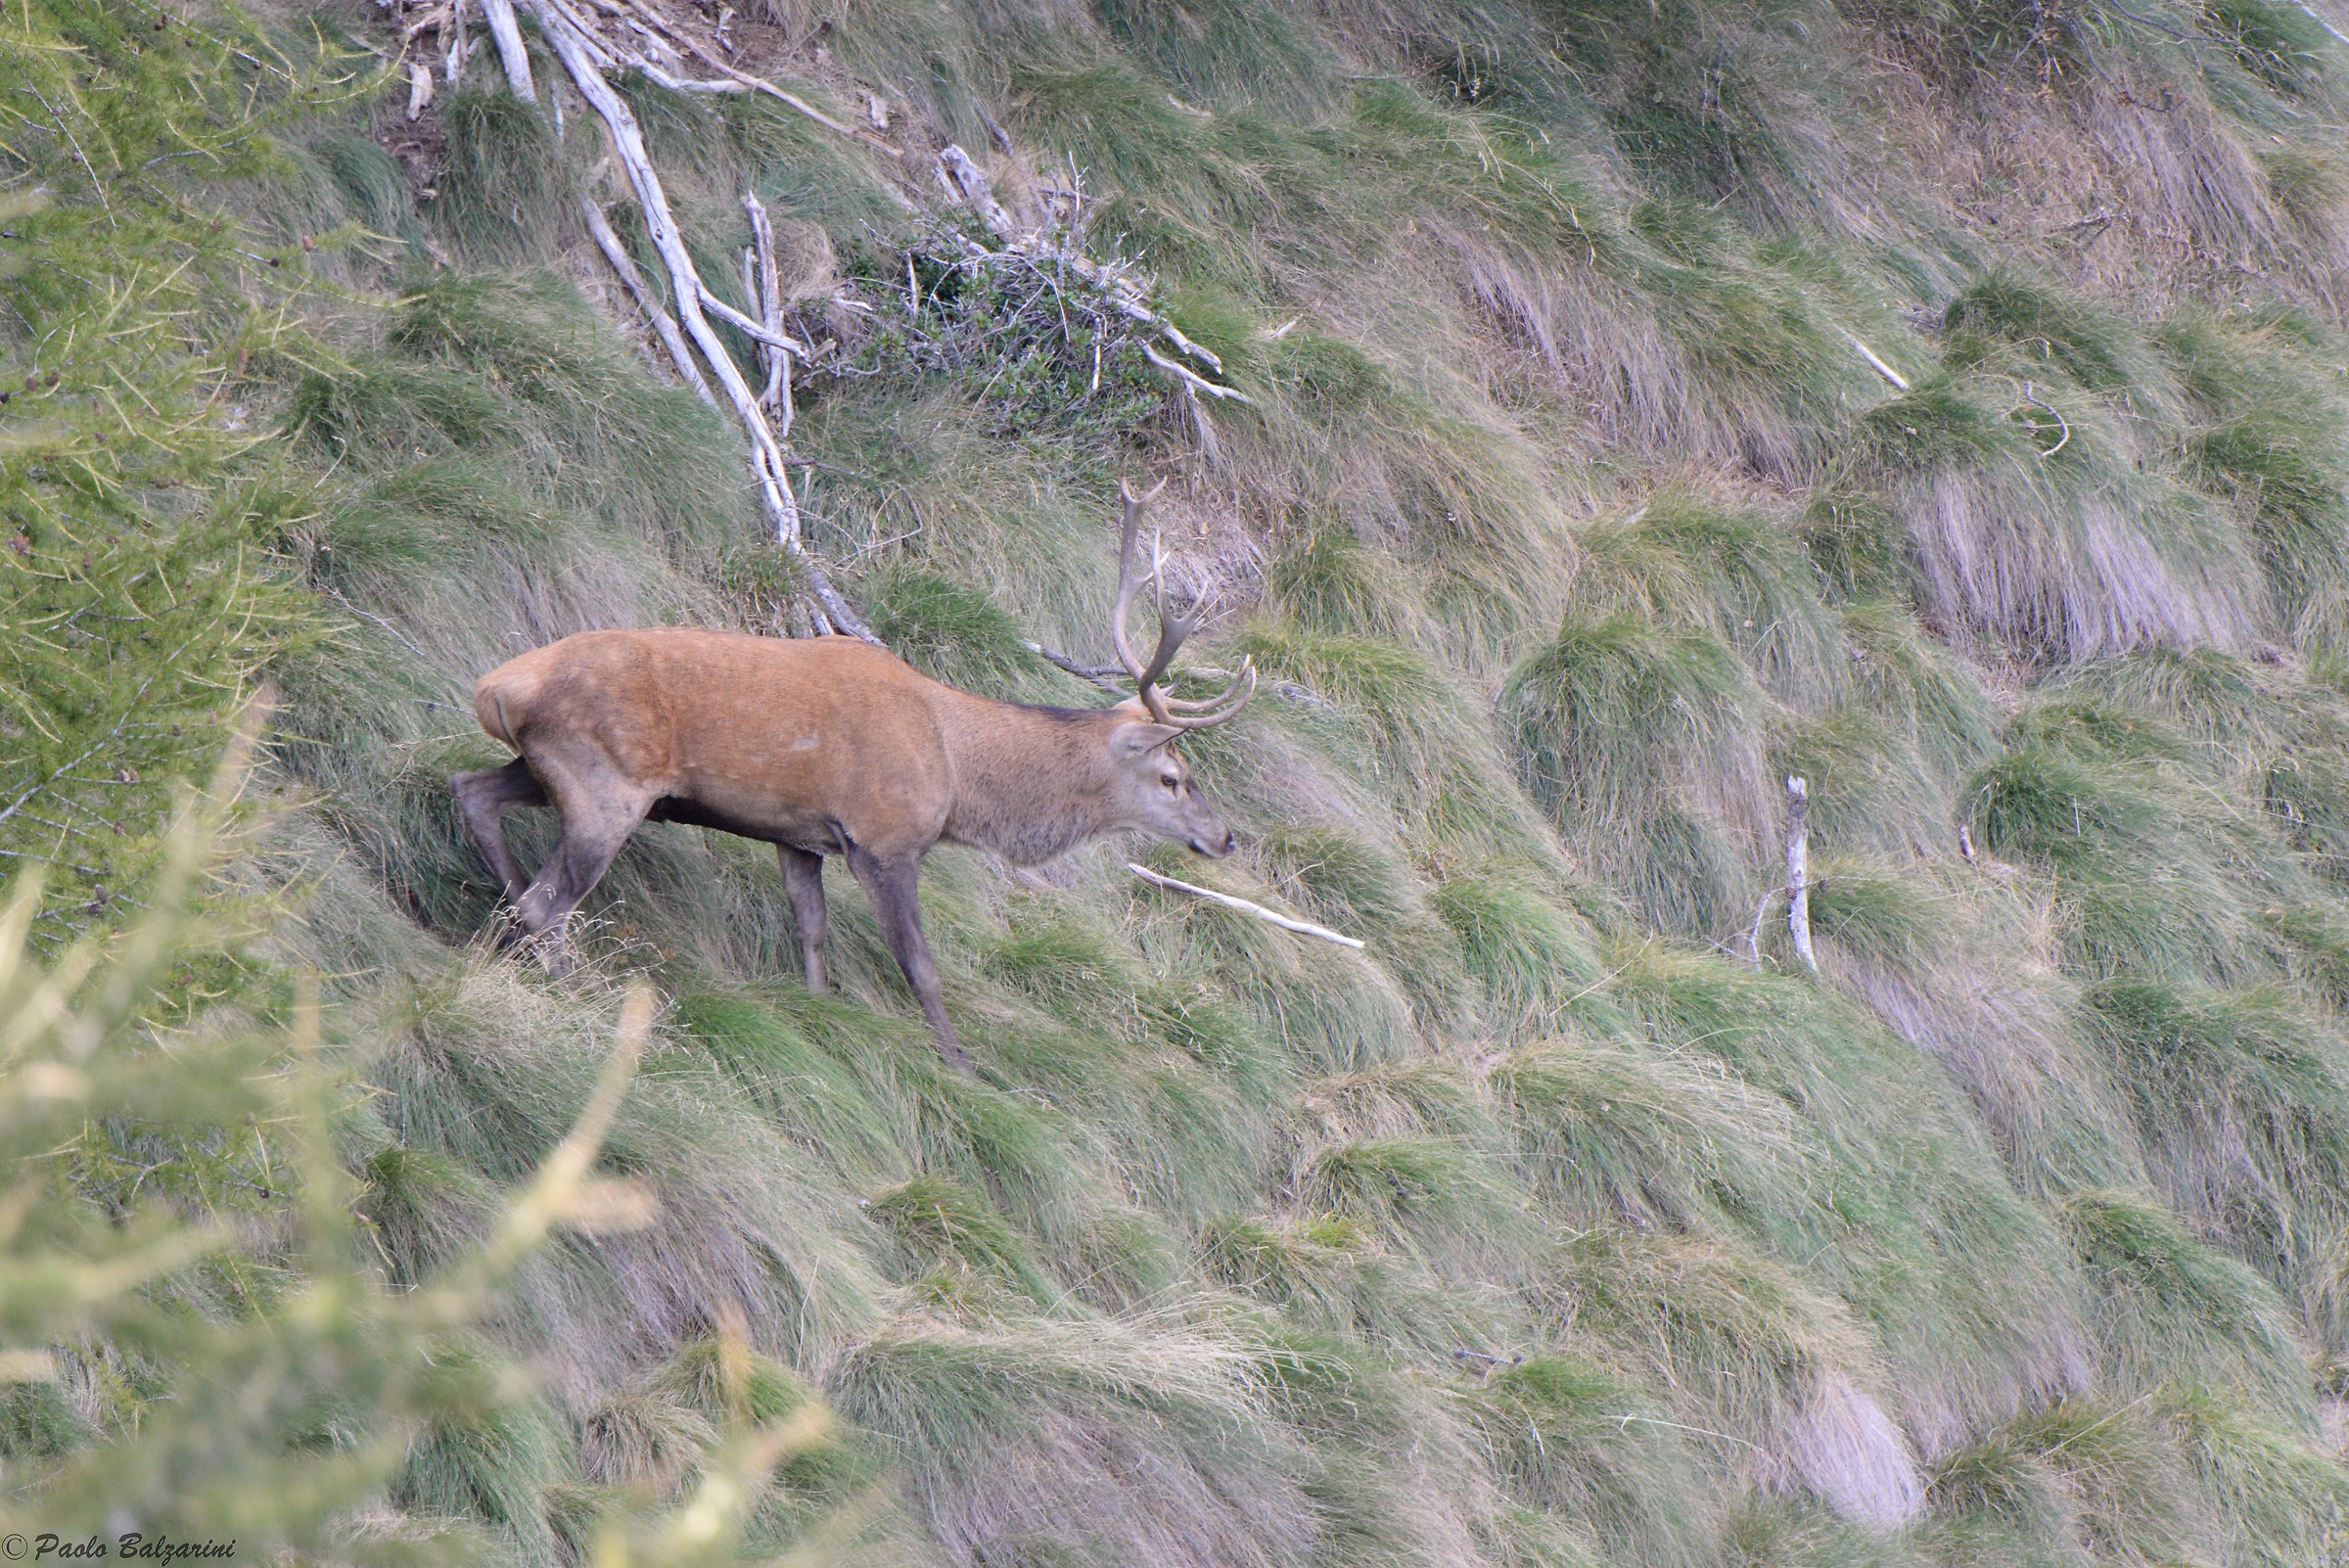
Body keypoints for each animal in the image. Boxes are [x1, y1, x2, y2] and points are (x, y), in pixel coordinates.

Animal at [449, 482, 1253, 1069]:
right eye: (1173, 776)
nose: (1227, 838)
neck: (956, 773)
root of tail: (496, 686)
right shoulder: (884, 840)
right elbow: (921, 966)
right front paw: (962, 1067)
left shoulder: (799, 835)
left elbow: (813, 937)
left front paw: (820, 1015)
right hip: (606, 785)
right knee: (548, 900)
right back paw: (564, 986)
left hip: (555, 769)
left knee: (474, 796)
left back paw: (507, 945)